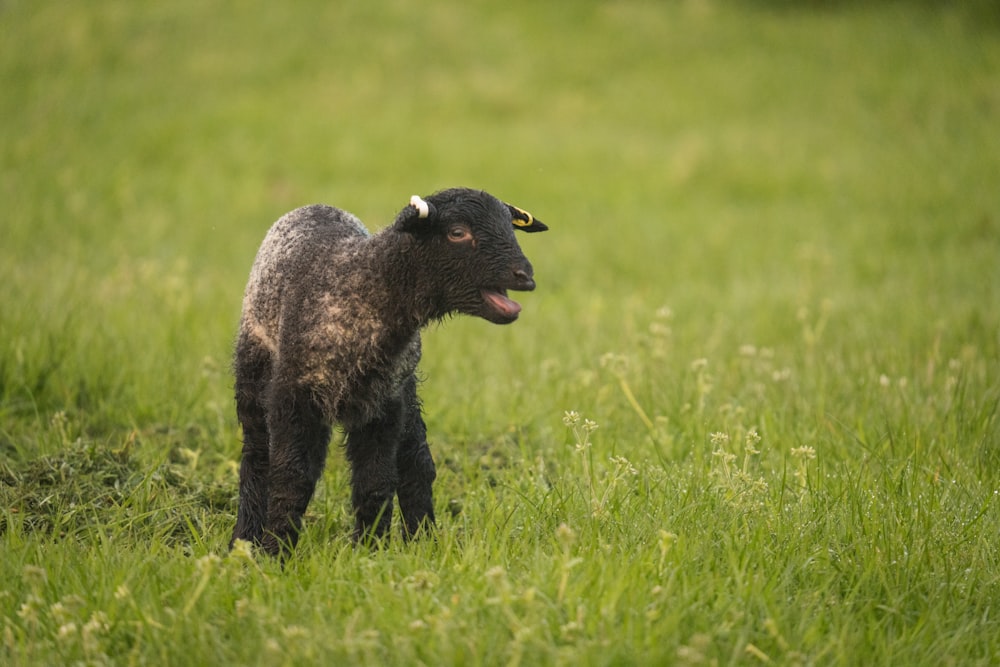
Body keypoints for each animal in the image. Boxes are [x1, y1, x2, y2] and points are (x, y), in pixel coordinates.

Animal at [229, 185, 548, 556]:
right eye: (457, 232)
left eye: (510, 228)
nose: (525, 276)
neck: (364, 290)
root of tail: (315, 206)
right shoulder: (292, 397)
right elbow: (291, 478)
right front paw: (274, 554)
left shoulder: (383, 404)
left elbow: (375, 480)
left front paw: (370, 551)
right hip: (254, 371)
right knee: (257, 458)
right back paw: (243, 539)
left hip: (404, 391)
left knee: (416, 461)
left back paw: (423, 541)